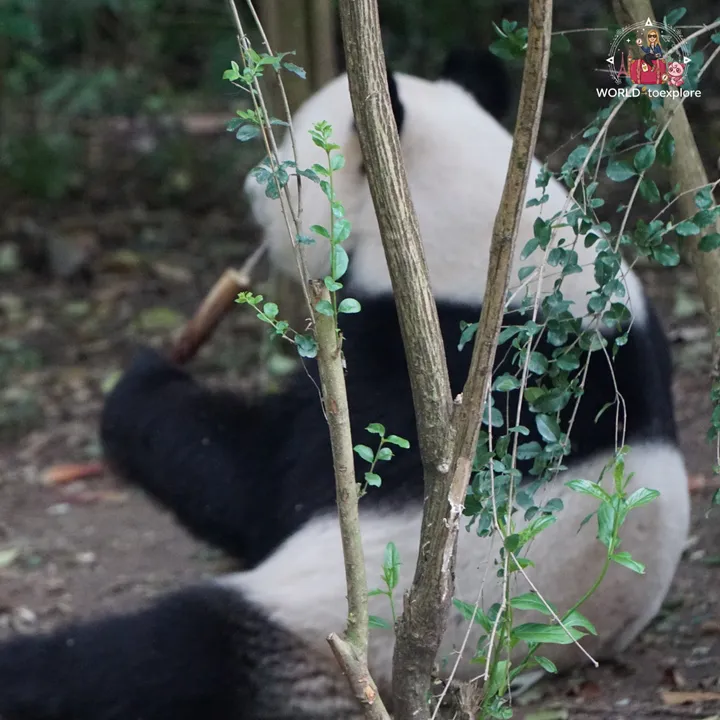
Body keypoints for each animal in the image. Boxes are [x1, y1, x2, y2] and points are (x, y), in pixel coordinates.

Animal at [0, 49, 689, 720]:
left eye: (286, 158)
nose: (249, 189)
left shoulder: (430, 369)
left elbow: (261, 483)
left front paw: (140, 385)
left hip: (309, 613)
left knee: (151, 659)